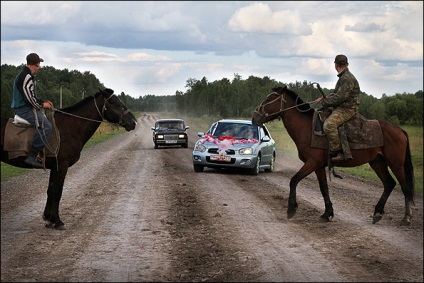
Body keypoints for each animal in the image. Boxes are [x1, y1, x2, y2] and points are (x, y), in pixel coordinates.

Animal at [1, 89, 137, 231]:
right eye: (115, 103)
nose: (134, 122)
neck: (70, 127)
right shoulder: (62, 166)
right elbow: (58, 191)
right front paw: (57, 221)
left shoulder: (55, 167)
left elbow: (51, 190)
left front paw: (48, 218)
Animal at [252, 85, 414, 225]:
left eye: (269, 99)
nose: (254, 117)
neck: (307, 128)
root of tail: (400, 130)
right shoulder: (318, 166)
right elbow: (324, 188)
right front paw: (327, 213)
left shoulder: (312, 162)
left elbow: (294, 180)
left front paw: (291, 209)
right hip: (377, 162)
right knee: (389, 184)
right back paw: (378, 213)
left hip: (396, 163)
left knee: (404, 187)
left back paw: (406, 217)